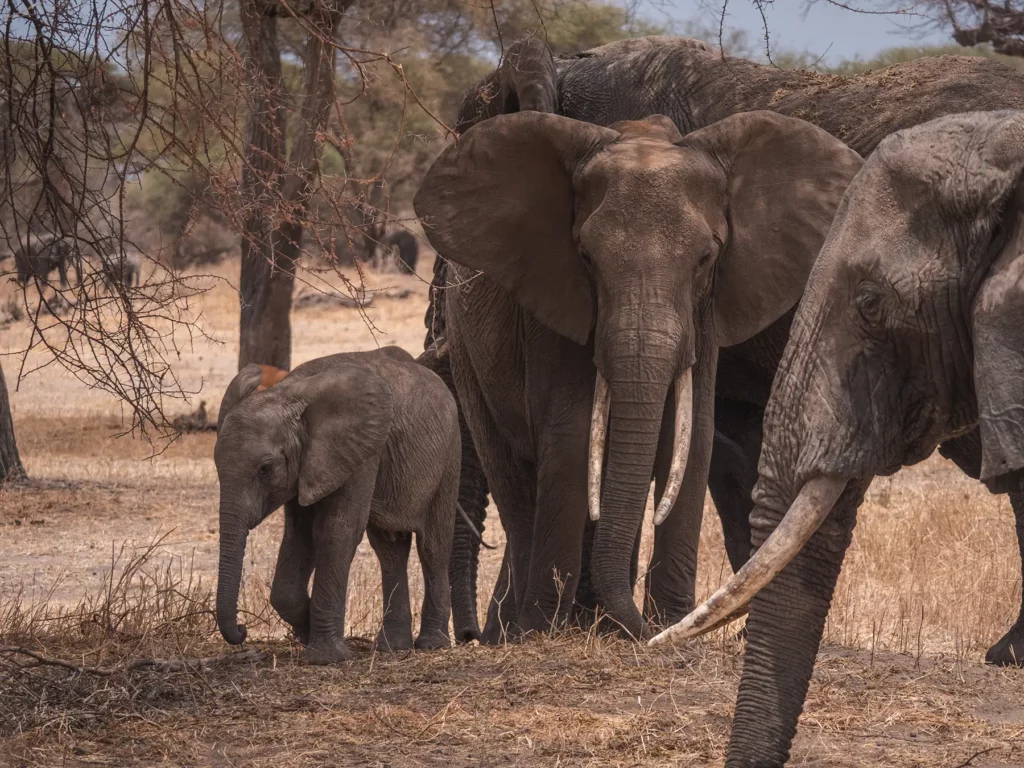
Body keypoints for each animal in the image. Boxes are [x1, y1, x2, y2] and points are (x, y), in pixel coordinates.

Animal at [214, 346, 462, 663]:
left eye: (265, 469)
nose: (242, 630)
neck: (288, 393)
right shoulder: (308, 465)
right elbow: (300, 537)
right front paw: (308, 632)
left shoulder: (362, 451)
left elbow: (337, 531)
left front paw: (325, 657)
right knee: (389, 550)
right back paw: (392, 647)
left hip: (449, 456)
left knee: (433, 546)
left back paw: (433, 644)